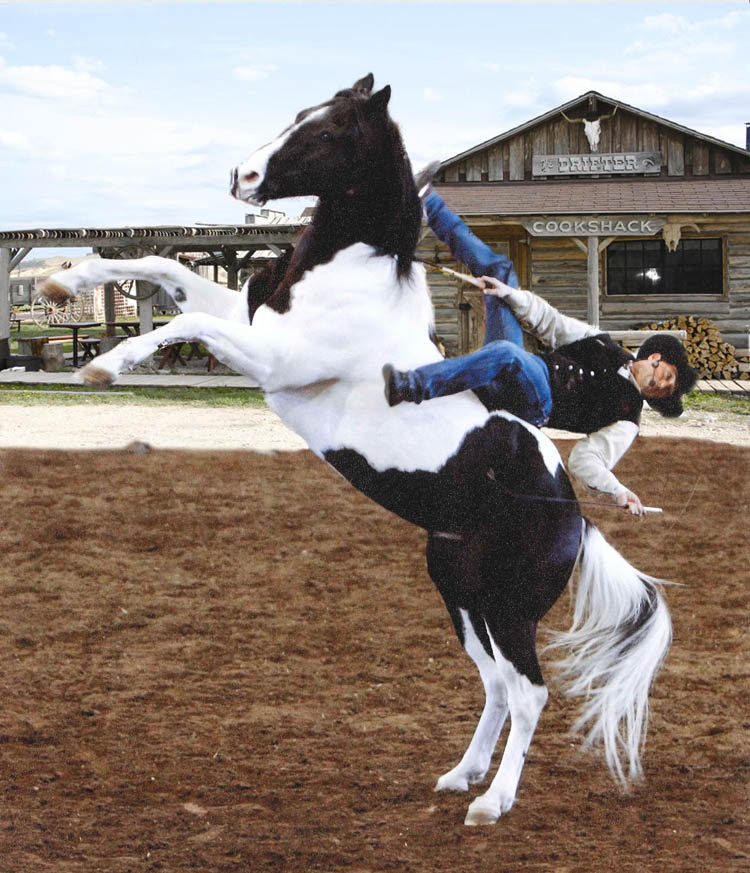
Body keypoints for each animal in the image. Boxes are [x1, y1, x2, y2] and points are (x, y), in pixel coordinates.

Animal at [41, 75, 672, 824]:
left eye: (330, 131)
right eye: (299, 113)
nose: (241, 177)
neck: (345, 278)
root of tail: (575, 516)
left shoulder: (274, 362)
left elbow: (183, 317)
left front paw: (103, 366)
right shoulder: (247, 320)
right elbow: (164, 267)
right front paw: (61, 282)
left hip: (508, 609)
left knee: (529, 692)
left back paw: (493, 802)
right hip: (461, 594)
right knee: (495, 685)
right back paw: (461, 776)